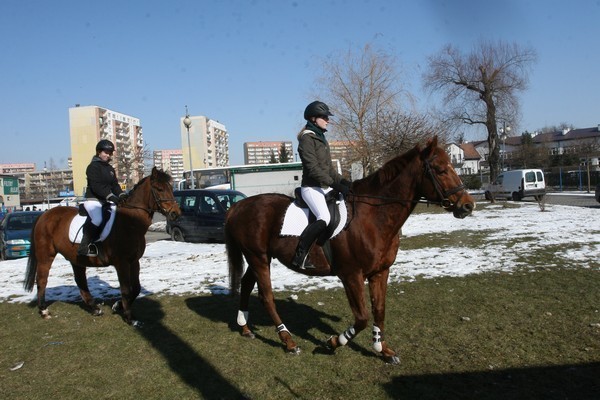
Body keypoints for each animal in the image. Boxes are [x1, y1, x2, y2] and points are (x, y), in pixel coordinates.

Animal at [24, 166, 179, 324]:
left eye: (170, 187)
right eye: (159, 189)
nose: (175, 213)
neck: (131, 222)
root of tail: (44, 215)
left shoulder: (134, 261)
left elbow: (136, 288)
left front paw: (118, 306)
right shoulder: (122, 263)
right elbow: (126, 289)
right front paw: (129, 317)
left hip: (76, 258)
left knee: (81, 281)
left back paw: (94, 308)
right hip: (46, 256)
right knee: (42, 279)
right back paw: (44, 310)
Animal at [227, 137, 476, 362]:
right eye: (440, 170)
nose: (467, 205)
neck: (373, 216)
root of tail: (240, 205)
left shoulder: (380, 272)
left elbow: (379, 310)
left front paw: (382, 349)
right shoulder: (351, 275)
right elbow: (362, 317)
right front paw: (333, 342)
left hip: (261, 258)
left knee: (247, 284)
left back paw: (245, 328)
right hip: (258, 258)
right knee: (266, 297)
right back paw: (288, 341)